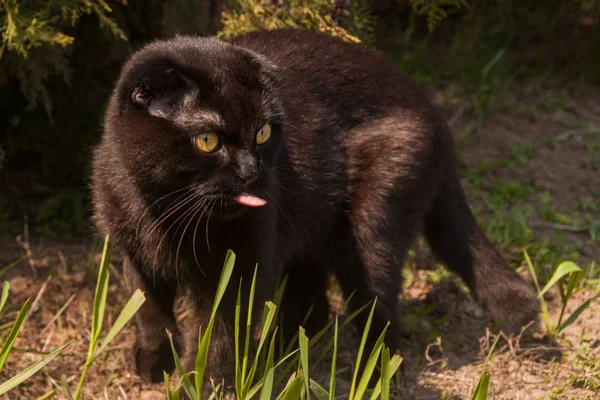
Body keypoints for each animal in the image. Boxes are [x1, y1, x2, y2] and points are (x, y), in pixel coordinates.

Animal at [91, 29, 540, 392]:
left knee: (379, 311)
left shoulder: (242, 266)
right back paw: (285, 352)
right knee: (315, 303)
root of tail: (434, 112)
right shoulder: (134, 251)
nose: (252, 171)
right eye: (207, 140)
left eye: (263, 133)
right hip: (308, 225)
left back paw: (369, 375)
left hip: (372, 225)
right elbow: (146, 308)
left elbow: (219, 334)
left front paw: (207, 385)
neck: (166, 213)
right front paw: (154, 362)